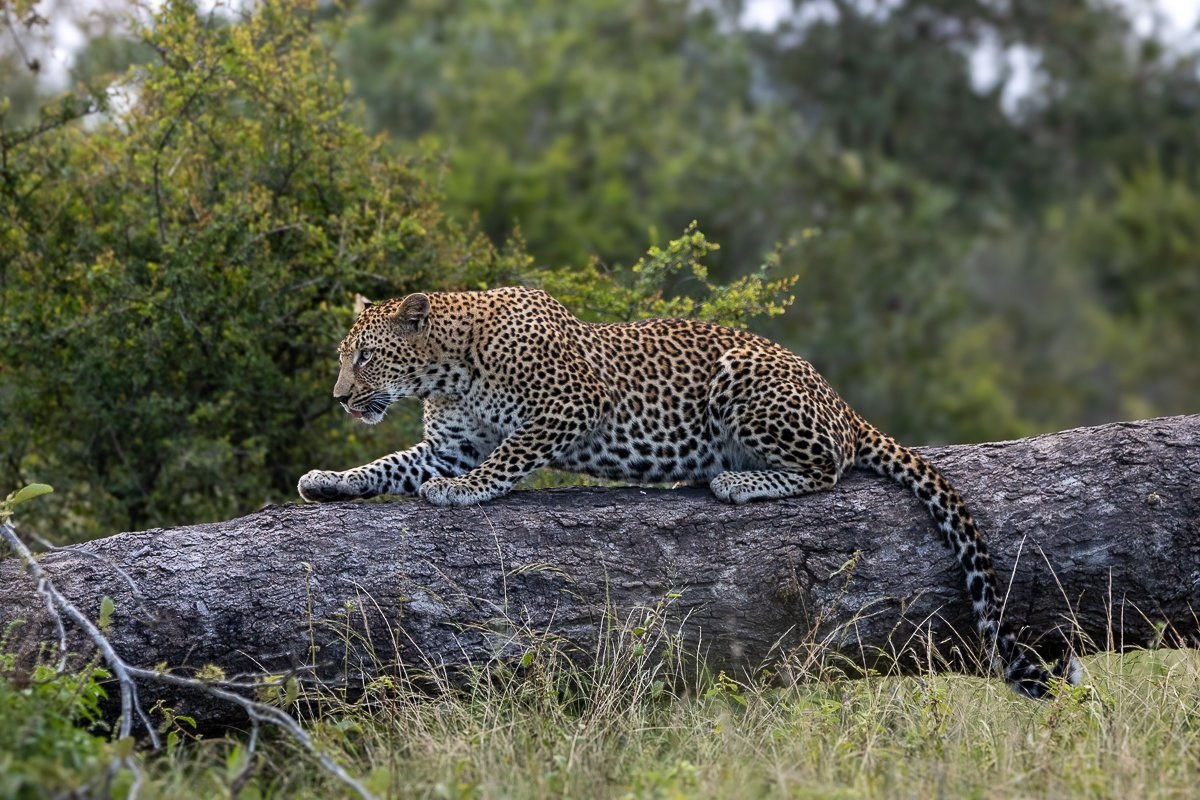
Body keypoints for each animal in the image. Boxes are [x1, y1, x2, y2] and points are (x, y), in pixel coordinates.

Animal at [298, 286, 1080, 697]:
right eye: (343, 357)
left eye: (365, 356)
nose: (338, 399)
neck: (448, 369)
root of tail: (838, 397)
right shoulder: (446, 440)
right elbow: (388, 465)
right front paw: (326, 480)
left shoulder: (573, 405)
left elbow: (510, 454)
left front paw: (463, 492)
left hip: (746, 383)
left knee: (829, 464)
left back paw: (732, 478)